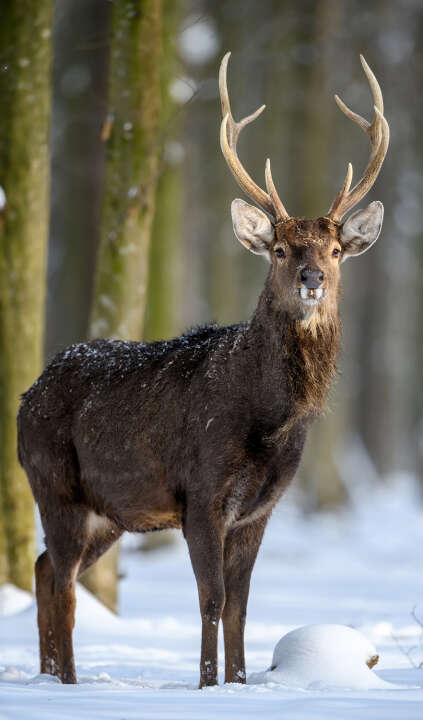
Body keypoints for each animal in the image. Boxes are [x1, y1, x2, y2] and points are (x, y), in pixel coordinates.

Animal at [17, 53, 389, 687]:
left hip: (110, 512)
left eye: (336, 250)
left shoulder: (261, 507)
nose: (313, 278)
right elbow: (211, 598)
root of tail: (24, 399)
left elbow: (240, 604)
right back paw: (66, 682)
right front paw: (205, 684)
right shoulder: (201, 492)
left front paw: (237, 683)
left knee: (44, 569)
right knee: (62, 581)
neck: (268, 421)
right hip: (54, 483)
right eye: (280, 250)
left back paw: (50, 675)